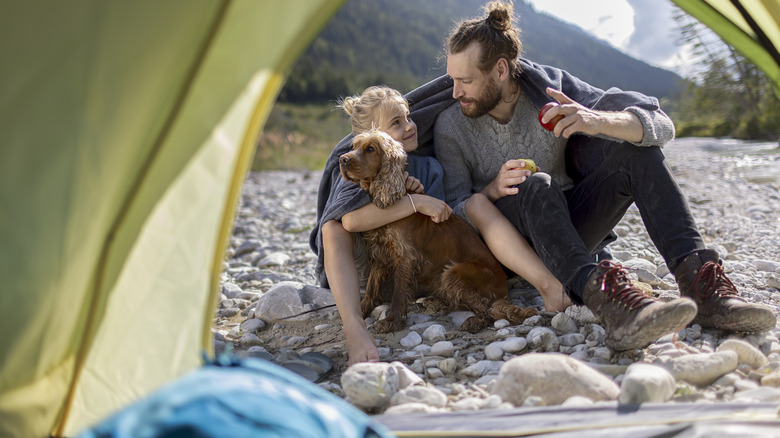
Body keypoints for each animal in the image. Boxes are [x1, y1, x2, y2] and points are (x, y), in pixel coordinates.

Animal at [336, 129, 536, 332]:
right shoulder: (378, 254)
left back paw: (474, 321)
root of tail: (504, 292)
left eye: (371, 149)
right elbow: (370, 289)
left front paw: (392, 321)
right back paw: (436, 303)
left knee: (485, 309)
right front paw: (359, 313)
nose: (342, 159)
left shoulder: (406, 256)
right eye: (354, 146)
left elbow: (399, 292)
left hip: (453, 272)